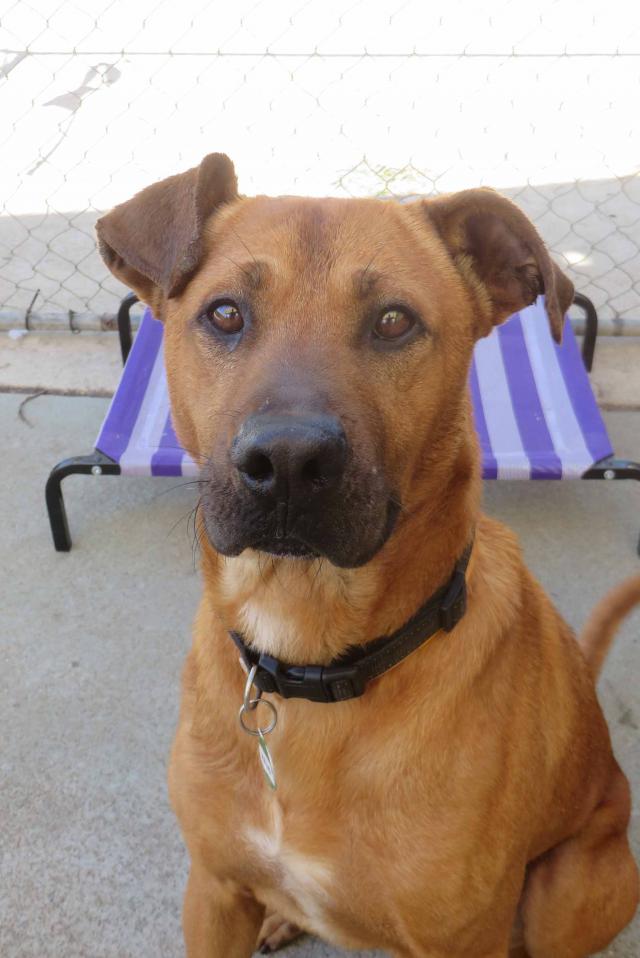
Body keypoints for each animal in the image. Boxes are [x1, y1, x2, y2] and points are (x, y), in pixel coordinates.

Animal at [97, 152, 639, 957]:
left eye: (393, 321)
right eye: (225, 313)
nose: (288, 463)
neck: (309, 655)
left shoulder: (461, 938)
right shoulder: (214, 889)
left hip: (565, 890)